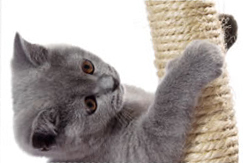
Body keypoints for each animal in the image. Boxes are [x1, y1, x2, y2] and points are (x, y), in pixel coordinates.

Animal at [10, 32, 224, 162]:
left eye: (87, 66)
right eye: (90, 104)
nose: (112, 82)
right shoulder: (138, 150)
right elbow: (165, 106)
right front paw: (198, 58)